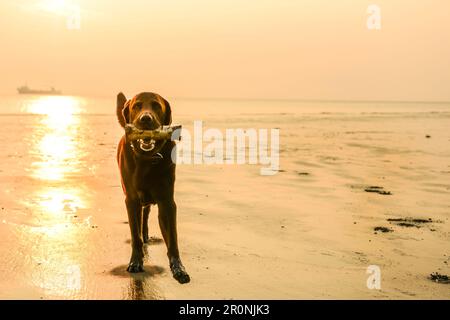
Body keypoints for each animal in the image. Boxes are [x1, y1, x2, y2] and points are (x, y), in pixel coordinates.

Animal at [116, 92, 190, 282]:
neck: (146, 159)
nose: (146, 118)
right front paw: (136, 261)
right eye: (137, 105)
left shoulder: (167, 202)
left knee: (146, 215)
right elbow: (135, 236)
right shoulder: (131, 200)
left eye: (156, 105)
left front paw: (178, 267)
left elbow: (173, 238)